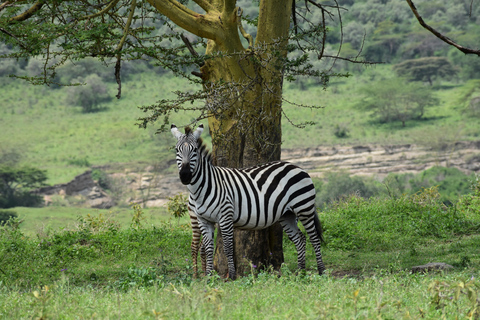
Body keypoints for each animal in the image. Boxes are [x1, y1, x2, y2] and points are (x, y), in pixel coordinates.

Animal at [170, 124, 326, 278]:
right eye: (177, 150)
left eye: (195, 150)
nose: (185, 176)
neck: (203, 188)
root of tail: (296, 167)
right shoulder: (204, 220)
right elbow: (208, 249)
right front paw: (208, 277)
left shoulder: (225, 216)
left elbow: (228, 248)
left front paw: (232, 276)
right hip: (287, 214)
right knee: (300, 239)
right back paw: (300, 272)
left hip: (303, 207)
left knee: (314, 238)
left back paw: (321, 271)